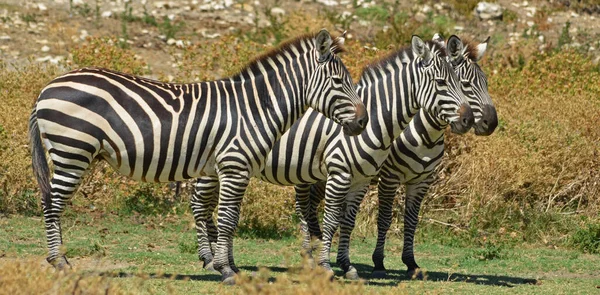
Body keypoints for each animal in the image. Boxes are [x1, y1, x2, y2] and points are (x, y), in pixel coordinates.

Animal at [28, 29, 368, 284]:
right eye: (339, 82)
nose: (363, 122)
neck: (256, 109)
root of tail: (47, 88)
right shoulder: (234, 166)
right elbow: (227, 219)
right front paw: (226, 270)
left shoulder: (231, 170)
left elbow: (226, 218)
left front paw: (224, 264)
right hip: (72, 150)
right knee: (51, 204)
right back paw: (59, 261)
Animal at [193, 35, 474, 280]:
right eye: (441, 83)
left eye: (463, 84)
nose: (469, 119)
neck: (378, 120)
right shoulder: (342, 174)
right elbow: (331, 221)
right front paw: (328, 266)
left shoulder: (362, 179)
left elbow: (348, 223)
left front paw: (347, 265)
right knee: (200, 206)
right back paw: (209, 259)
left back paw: (225, 260)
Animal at [300, 34, 496, 280]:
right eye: (466, 85)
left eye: (486, 82)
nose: (491, 123)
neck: (424, 135)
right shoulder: (389, 177)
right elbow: (385, 218)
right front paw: (378, 261)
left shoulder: (422, 181)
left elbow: (411, 221)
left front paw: (411, 263)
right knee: (304, 204)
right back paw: (311, 251)